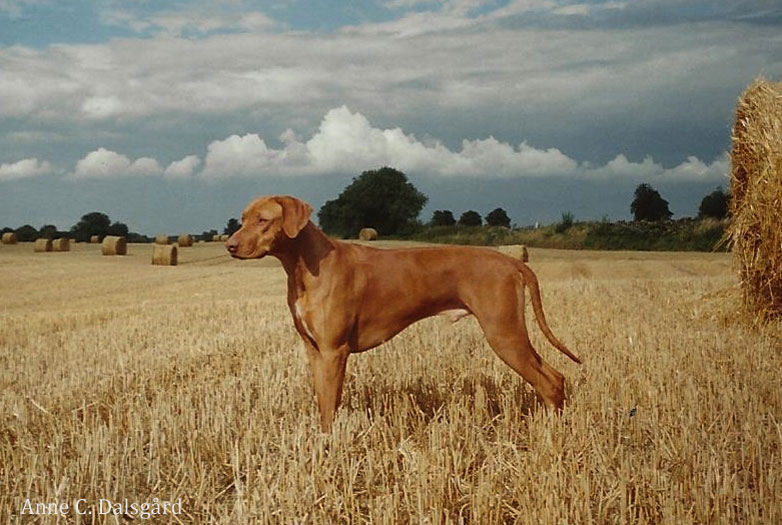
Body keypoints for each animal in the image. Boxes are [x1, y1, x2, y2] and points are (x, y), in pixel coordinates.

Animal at [227, 194, 580, 428]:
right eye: (242, 218)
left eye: (263, 219)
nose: (230, 245)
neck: (306, 265)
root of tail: (511, 260)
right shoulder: (314, 351)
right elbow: (322, 402)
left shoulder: (333, 351)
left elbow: (330, 405)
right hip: (510, 333)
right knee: (556, 376)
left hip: (503, 332)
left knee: (548, 382)